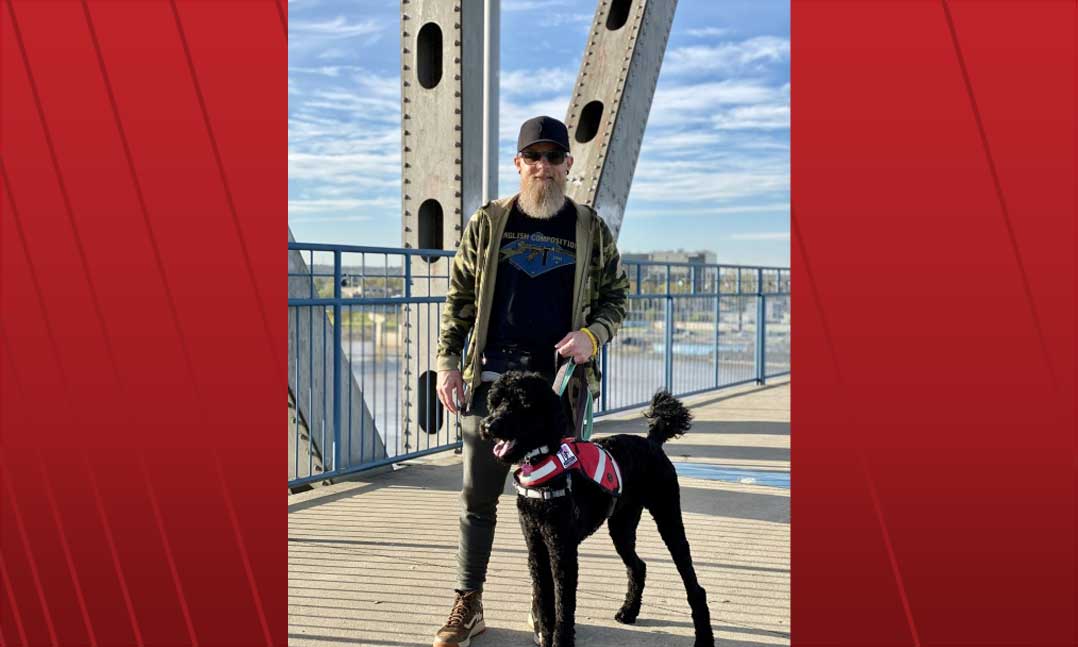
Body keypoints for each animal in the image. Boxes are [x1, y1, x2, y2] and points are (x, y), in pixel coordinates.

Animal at [480, 368, 715, 647]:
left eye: (522, 403)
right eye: (495, 401)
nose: (488, 425)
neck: (546, 464)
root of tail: (652, 442)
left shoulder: (562, 550)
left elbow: (563, 606)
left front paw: (561, 641)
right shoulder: (536, 548)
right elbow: (545, 604)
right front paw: (546, 638)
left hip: (668, 517)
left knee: (695, 586)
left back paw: (704, 638)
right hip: (622, 526)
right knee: (638, 566)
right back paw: (629, 611)